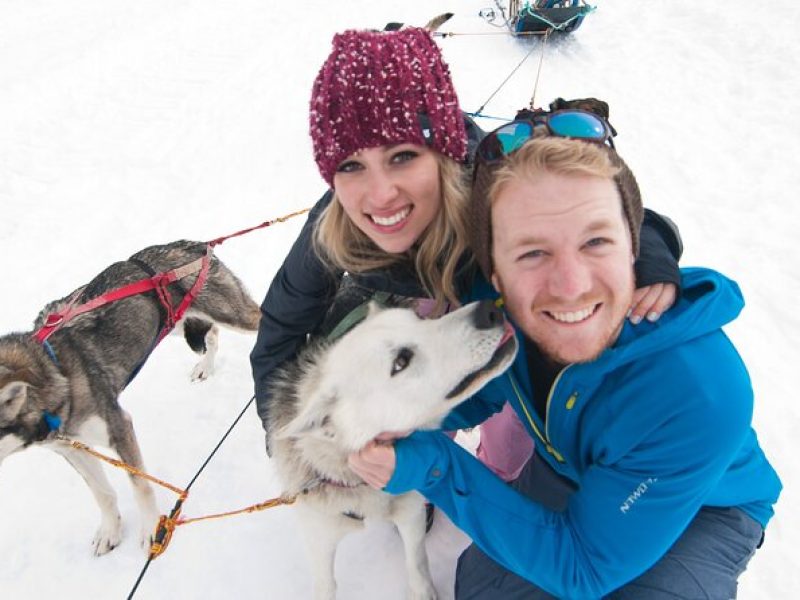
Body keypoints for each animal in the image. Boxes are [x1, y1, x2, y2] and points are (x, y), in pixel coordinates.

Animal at [268, 300, 520, 600]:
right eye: (401, 361)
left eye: (420, 318)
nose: (488, 309)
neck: (363, 488)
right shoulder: (319, 538)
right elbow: (325, 585)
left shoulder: (411, 512)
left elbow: (417, 563)